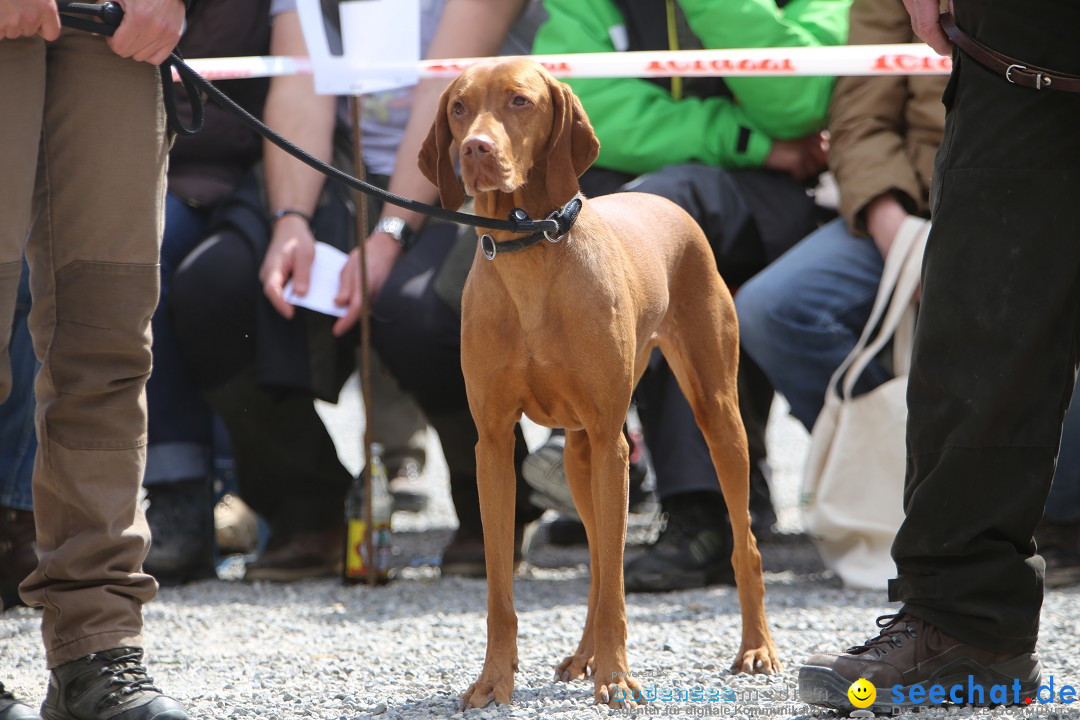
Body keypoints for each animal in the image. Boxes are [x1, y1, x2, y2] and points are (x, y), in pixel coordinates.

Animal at [416, 57, 781, 708]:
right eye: (458, 108)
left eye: (519, 100)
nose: (476, 149)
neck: (531, 251)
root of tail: (664, 198)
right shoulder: (494, 445)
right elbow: (503, 589)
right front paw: (494, 679)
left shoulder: (615, 441)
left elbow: (615, 584)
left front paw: (615, 676)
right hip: (580, 453)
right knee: (594, 558)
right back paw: (583, 655)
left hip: (716, 417)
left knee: (742, 544)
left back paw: (756, 648)